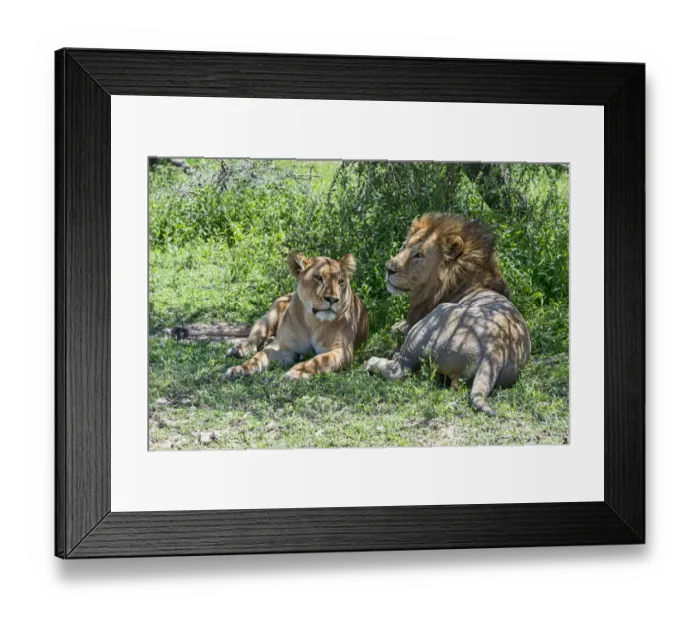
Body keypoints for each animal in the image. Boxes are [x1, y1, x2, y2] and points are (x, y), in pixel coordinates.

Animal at [226, 252, 369, 379]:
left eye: (340, 281)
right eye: (318, 278)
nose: (332, 299)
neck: (313, 321)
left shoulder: (343, 350)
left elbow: (320, 360)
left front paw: (297, 371)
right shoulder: (282, 346)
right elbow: (258, 357)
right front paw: (240, 369)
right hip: (267, 318)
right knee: (254, 339)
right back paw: (240, 350)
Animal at [366, 213, 531, 417]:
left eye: (419, 255)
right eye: (404, 246)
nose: (388, 269)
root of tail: (496, 350)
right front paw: (398, 325)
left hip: (434, 319)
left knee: (400, 369)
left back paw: (374, 362)